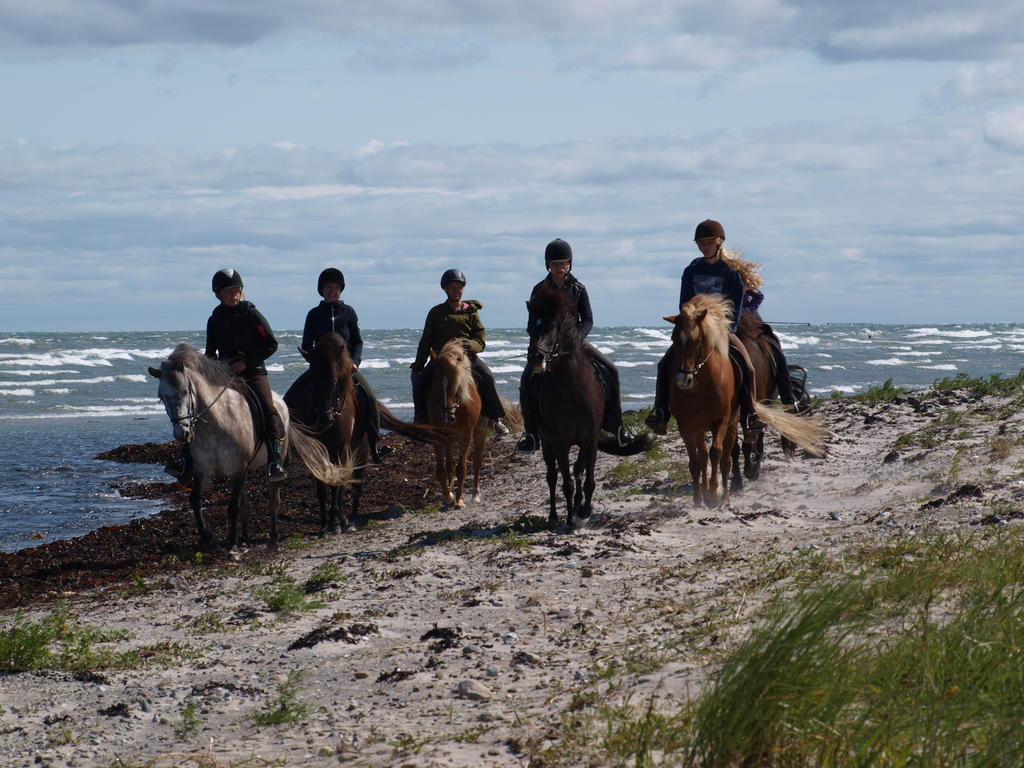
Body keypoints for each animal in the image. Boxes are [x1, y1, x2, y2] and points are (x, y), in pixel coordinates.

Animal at [146, 344, 350, 552]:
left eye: (186, 391)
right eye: (161, 397)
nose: (182, 434)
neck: (216, 422)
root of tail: (281, 402)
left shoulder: (238, 468)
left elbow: (232, 508)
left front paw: (231, 545)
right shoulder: (203, 470)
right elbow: (195, 501)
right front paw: (209, 537)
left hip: (271, 463)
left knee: (273, 500)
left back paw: (272, 538)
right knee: (246, 504)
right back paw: (244, 538)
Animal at [528, 282, 655, 528]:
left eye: (553, 326)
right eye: (530, 327)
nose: (535, 358)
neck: (573, 390)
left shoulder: (591, 438)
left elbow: (587, 479)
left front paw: (584, 510)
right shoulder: (560, 442)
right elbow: (566, 482)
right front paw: (570, 518)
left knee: (578, 469)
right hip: (547, 442)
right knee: (552, 476)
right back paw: (554, 516)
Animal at [667, 296, 827, 507]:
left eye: (698, 340)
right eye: (673, 339)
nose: (681, 380)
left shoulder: (728, 418)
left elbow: (728, 448)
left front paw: (724, 486)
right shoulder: (693, 424)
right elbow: (714, 455)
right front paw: (727, 484)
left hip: (760, 403)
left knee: (756, 434)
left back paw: (752, 468)